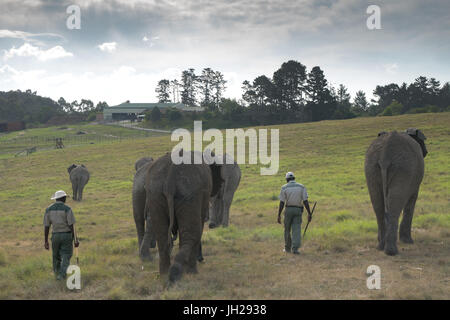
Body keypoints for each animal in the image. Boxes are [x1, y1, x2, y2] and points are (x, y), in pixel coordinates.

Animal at [140, 151, 222, 282]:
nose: (202, 260)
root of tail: (170, 179)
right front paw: (192, 272)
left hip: (155, 193)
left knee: (162, 235)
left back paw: (164, 274)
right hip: (189, 194)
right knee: (192, 234)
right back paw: (179, 273)